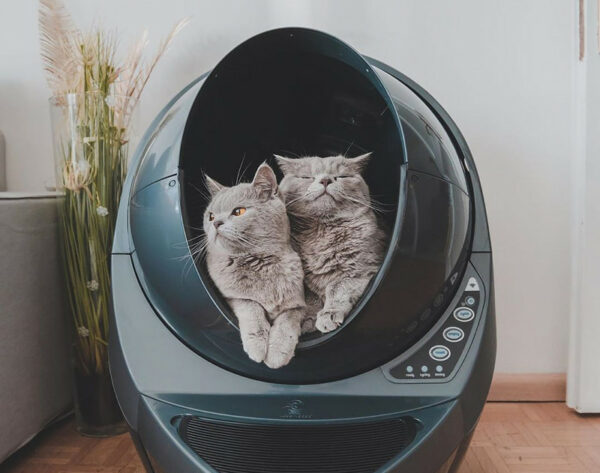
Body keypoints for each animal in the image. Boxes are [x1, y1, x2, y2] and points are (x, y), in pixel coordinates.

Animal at [203, 163, 304, 368]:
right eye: (210, 216)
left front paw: (277, 354)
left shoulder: (298, 304)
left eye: (238, 211)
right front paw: (257, 347)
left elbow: (287, 322)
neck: (259, 262)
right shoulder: (232, 296)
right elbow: (252, 307)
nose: (216, 223)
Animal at [276, 153, 386, 334]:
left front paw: (329, 314)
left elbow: (338, 289)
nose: (326, 180)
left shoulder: (358, 270)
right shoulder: (302, 279)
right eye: (306, 177)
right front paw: (308, 319)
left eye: (342, 176)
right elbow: (310, 297)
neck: (321, 231)